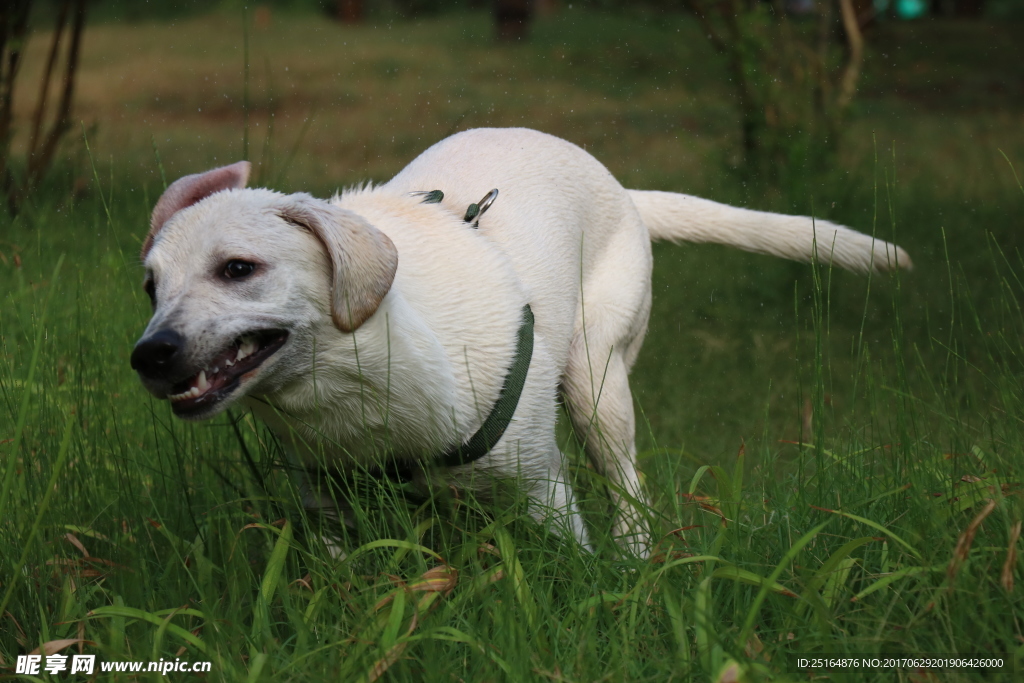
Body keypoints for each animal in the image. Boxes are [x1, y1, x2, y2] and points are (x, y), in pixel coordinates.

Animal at [130, 126, 913, 557]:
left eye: (239, 269)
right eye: (149, 287)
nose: (149, 354)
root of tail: (626, 193)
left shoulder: (544, 490)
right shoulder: (324, 503)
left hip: (597, 381)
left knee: (629, 490)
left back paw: (636, 560)